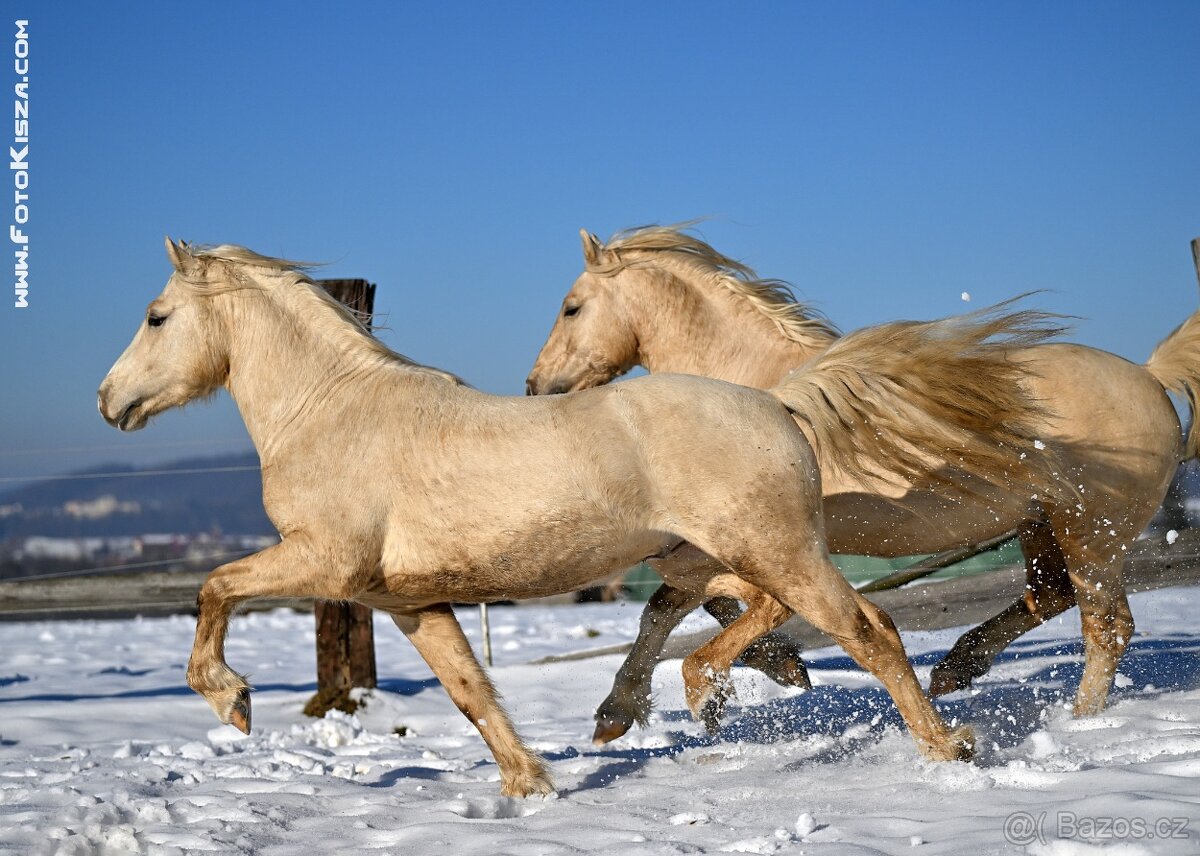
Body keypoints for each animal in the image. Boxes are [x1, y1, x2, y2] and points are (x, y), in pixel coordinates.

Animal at [528, 223, 1200, 744]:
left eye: (571, 307)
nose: (536, 387)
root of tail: (1150, 376)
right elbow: (664, 609)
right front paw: (616, 714)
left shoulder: (758, 547)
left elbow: (720, 608)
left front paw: (768, 674)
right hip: (1040, 523)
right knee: (1049, 597)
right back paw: (957, 669)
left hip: (1093, 536)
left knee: (1106, 627)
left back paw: (1079, 719)